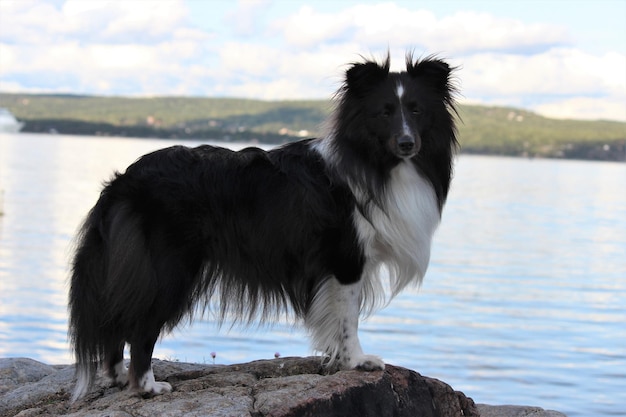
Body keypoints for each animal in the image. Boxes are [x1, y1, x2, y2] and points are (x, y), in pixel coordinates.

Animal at [69, 52, 458, 400]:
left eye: (417, 110)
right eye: (385, 112)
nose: (407, 143)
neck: (377, 163)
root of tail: (124, 180)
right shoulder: (346, 260)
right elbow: (349, 319)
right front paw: (358, 362)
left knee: (117, 316)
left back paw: (119, 377)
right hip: (170, 266)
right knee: (141, 325)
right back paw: (148, 386)